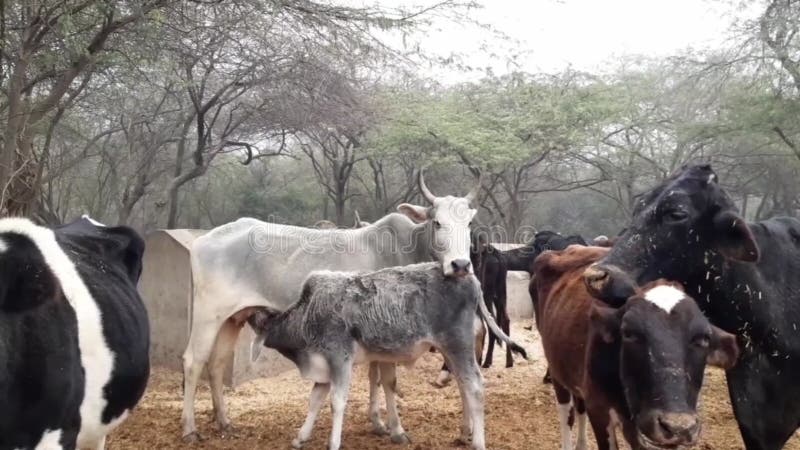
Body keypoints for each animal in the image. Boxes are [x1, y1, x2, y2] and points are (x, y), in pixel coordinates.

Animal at [181, 167, 482, 442]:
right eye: (437, 222)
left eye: (468, 224)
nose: (460, 265)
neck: (405, 247)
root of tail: (203, 240)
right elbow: (388, 381)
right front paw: (397, 430)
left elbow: (374, 377)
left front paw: (378, 423)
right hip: (208, 315)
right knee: (193, 361)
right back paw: (190, 429)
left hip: (233, 318)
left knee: (217, 363)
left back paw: (224, 421)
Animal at [247, 262, 528, 450]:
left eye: (261, 319)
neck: (308, 313)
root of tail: (470, 278)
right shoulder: (325, 366)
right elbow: (315, 399)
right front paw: (301, 436)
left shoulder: (339, 358)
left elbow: (337, 402)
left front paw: (333, 442)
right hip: (453, 350)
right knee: (463, 386)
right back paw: (463, 433)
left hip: (458, 345)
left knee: (475, 387)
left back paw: (477, 441)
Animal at [536, 246, 740, 450]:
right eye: (628, 333)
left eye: (704, 339)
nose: (677, 426)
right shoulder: (598, 409)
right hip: (557, 372)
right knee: (567, 414)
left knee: (579, 408)